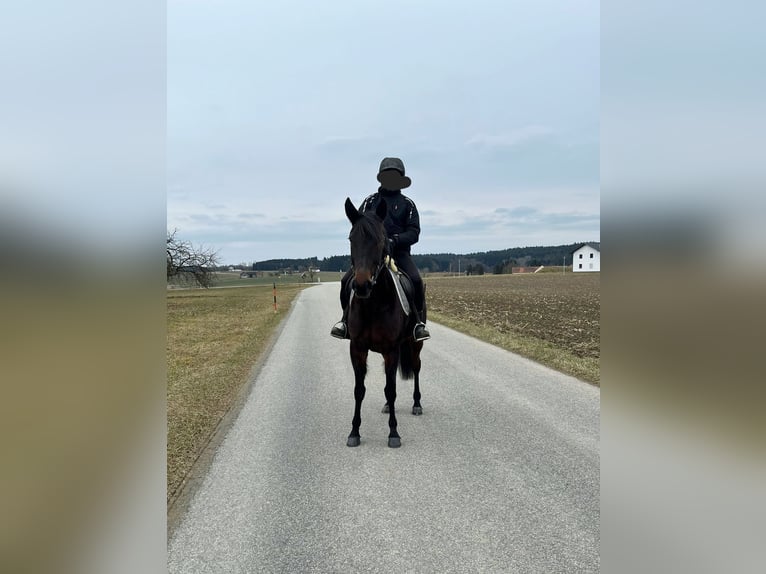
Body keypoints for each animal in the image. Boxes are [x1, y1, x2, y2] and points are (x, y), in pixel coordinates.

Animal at [344, 198, 426, 450]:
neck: (374, 304)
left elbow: (391, 389)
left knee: (416, 368)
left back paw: (417, 404)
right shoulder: (357, 349)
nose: (361, 286)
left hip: (414, 344)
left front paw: (394, 433)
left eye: (381, 240)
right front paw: (354, 431)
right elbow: (358, 390)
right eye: (351, 239)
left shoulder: (392, 349)